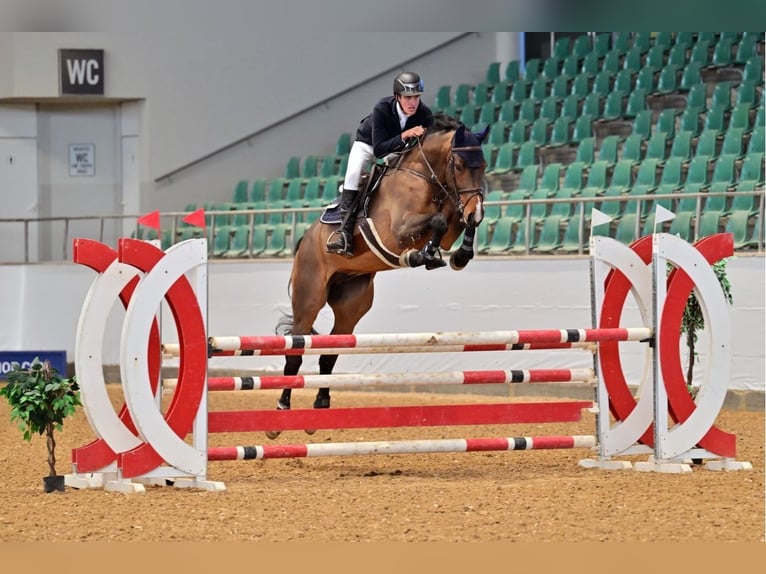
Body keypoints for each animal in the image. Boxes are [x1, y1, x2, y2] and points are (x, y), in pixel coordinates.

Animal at [267, 115, 490, 438]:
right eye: (459, 165)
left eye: (483, 165)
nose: (477, 210)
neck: (426, 176)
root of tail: (305, 241)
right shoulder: (397, 231)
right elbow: (436, 220)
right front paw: (419, 256)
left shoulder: (451, 220)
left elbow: (452, 222)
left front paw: (455, 255)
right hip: (309, 298)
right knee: (295, 351)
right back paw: (281, 413)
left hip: (351, 303)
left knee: (330, 352)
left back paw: (319, 408)